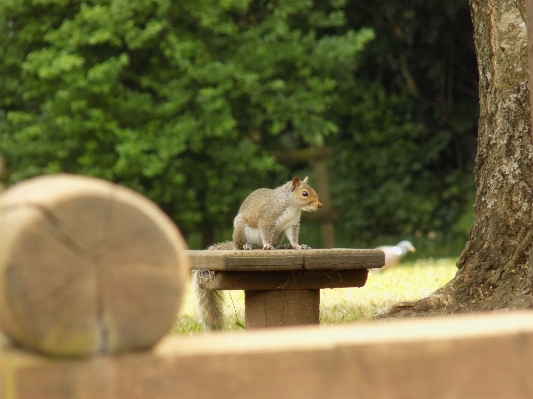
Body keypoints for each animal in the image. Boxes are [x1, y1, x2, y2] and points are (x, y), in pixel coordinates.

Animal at [193, 177, 322, 330]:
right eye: (304, 193)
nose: (320, 205)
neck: (291, 205)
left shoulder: (292, 224)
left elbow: (293, 237)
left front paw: (297, 246)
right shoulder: (268, 218)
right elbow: (265, 232)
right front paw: (267, 246)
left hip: (278, 235)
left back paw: (283, 246)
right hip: (242, 228)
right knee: (243, 244)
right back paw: (248, 246)